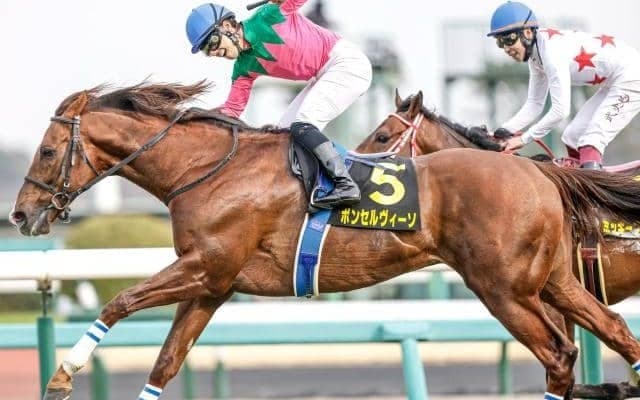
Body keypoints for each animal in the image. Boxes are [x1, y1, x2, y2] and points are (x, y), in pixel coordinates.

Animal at [11, 81, 640, 400]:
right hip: (550, 280)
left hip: (504, 287)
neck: (208, 169)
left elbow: (118, 301)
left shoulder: (204, 266)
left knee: (559, 354)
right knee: (612, 331)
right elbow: (165, 363)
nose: (21, 214)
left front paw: (61, 376)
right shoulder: (211, 283)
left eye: (47, 150)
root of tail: (538, 173)